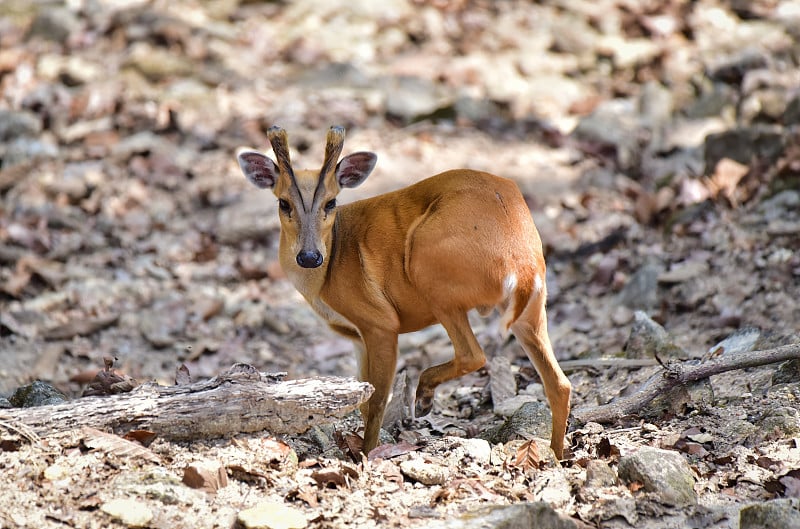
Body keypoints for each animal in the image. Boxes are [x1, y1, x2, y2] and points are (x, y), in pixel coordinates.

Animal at [234, 126, 572, 456]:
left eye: (331, 202)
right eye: (283, 203)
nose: (309, 257)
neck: (329, 271)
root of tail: (520, 260)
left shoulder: (380, 322)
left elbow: (376, 400)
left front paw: (365, 455)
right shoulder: (356, 336)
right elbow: (363, 394)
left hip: (429, 269)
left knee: (473, 354)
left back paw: (423, 398)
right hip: (533, 302)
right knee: (560, 383)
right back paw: (557, 456)